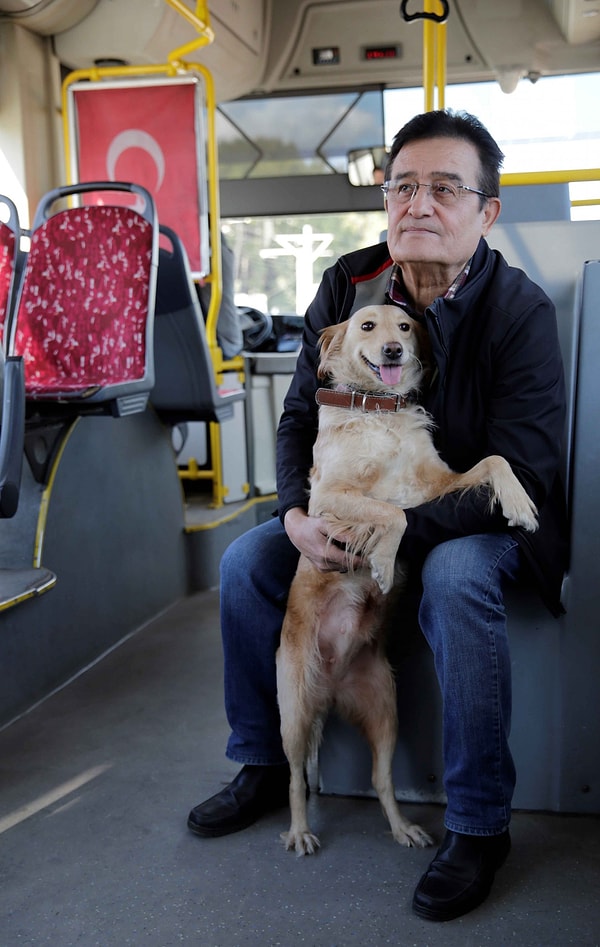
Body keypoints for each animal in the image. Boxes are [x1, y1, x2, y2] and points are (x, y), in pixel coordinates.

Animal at [276, 306, 540, 860]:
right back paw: (300, 831)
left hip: (385, 712)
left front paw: (520, 504)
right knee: (294, 778)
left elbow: (494, 460)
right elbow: (391, 515)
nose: (394, 350)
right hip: (294, 710)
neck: (380, 410)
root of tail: (332, 682)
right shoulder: (328, 500)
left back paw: (403, 829)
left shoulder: (435, 484)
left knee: (381, 780)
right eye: (367, 327)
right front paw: (381, 561)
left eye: (403, 327)